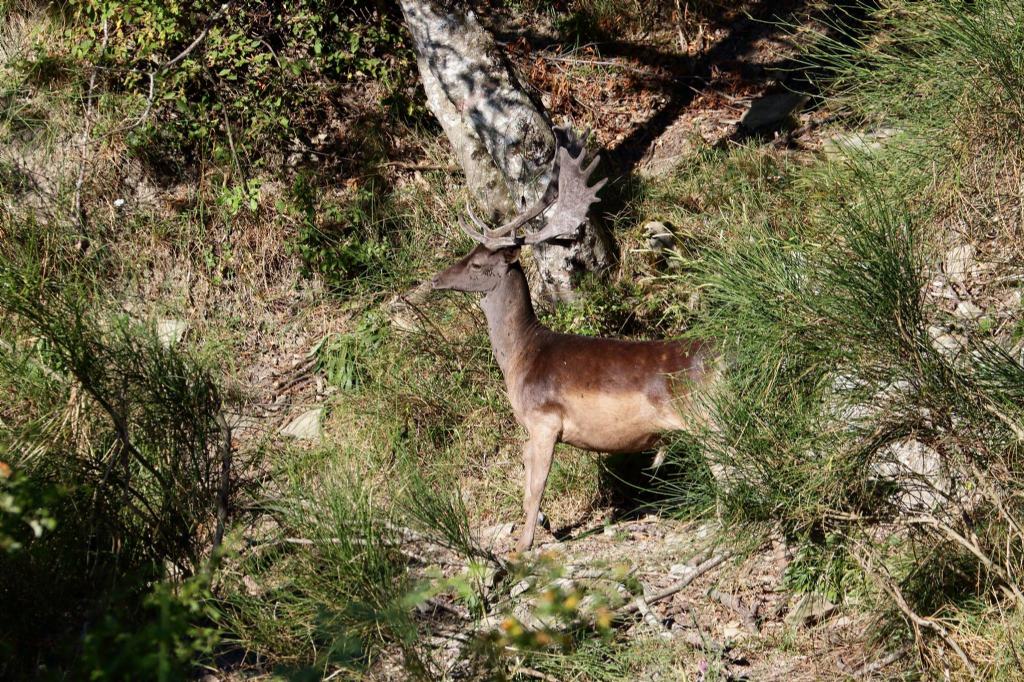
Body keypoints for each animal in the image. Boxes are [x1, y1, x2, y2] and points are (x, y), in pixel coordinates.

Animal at [428, 134, 716, 552]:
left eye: (480, 264)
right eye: (469, 253)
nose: (436, 279)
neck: (521, 357)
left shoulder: (544, 419)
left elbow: (535, 486)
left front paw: (524, 545)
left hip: (707, 417)